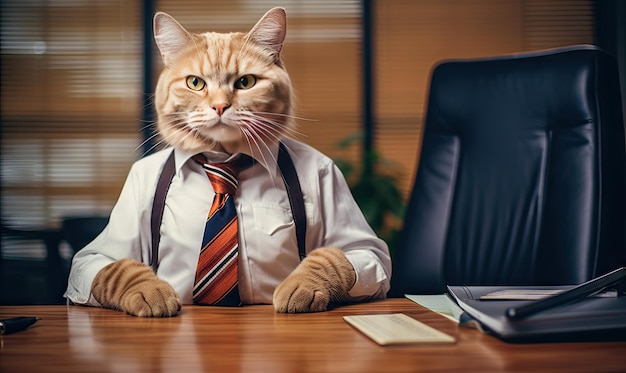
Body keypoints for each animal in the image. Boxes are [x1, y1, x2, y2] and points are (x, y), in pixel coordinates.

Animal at [68, 7, 390, 316]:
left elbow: (334, 256)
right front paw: (150, 291)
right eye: (195, 83)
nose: (220, 106)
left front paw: (302, 284)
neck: (222, 159)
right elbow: (116, 267)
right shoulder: (93, 255)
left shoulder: (366, 247)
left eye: (245, 82)